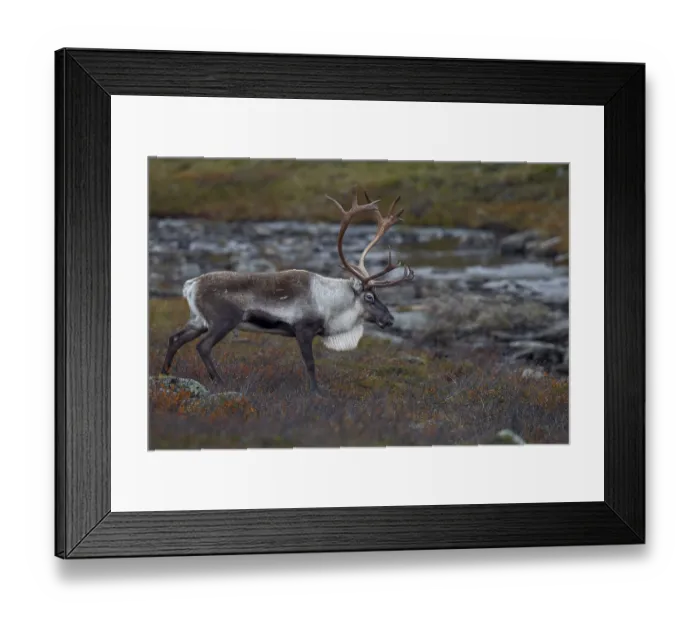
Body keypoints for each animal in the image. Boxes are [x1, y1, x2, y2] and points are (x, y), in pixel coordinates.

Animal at [160, 186, 415, 394]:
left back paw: (165, 373)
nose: (390, 319)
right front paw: (316, 393)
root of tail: (191, 285)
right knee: (202, 346)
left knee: (175, 338)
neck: (331, 303)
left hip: (198, 320)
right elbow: (310, 364)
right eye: (370, 296)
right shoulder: (303, 330)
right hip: (223, 321)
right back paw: (220, 381)